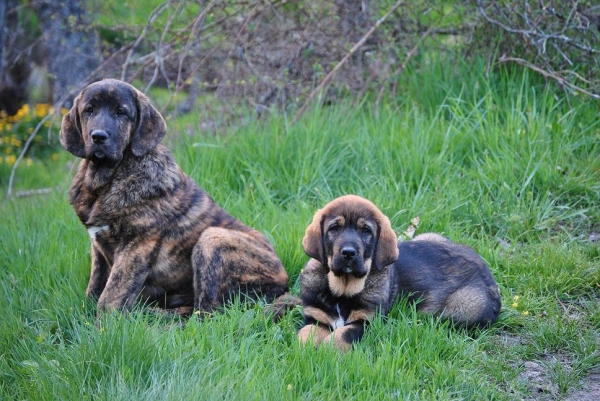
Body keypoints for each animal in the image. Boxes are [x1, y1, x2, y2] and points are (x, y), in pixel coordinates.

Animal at [59, 78, 290, 314]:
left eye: (121, 112)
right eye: (89, 110)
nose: (98, 136)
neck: (105, 179)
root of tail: (284, 282)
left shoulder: (136, 245)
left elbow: (111, 296)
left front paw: (104, 322)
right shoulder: (97, 246)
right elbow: (95, 285)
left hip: (212, 237)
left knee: (206, 311)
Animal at [300, 195, 502, 350]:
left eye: (366, 231)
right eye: (334, 228)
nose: (348, 253)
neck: (343, 289)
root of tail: (484, 266)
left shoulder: (369, 321)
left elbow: (343, 334)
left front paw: (327, 350)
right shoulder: (315, 315)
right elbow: (305, 333)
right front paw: (306, 351)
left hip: (462, 309)